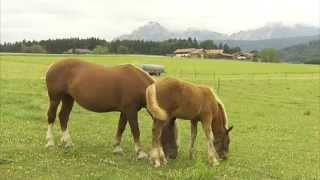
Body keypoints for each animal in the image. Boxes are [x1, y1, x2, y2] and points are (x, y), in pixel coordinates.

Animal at [44, 59, 178, 159]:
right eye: (170, 133)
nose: (173, 156)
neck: (138, 83)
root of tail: (53, 65)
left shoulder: (125, 111)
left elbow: (121, 128)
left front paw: (117, 148)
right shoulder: (131, 110)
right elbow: (135, 130)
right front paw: (140, 153)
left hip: (68, 98)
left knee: (63, 117)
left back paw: (67, 142)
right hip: (55, 98)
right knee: (52, 116)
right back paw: (50, 142)